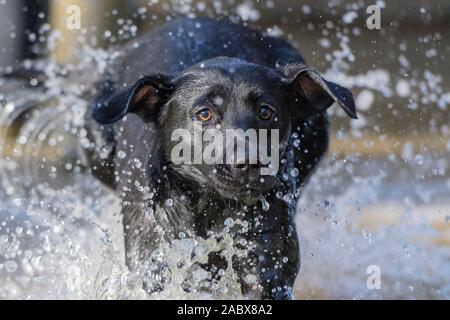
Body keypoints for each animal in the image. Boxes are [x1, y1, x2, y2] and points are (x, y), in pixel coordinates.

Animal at [81, 16, 356, 298]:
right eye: (205, 114)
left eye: (266, 111)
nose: (250, 162)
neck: (212, 206)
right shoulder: (154, 257)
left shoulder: (266, 260)